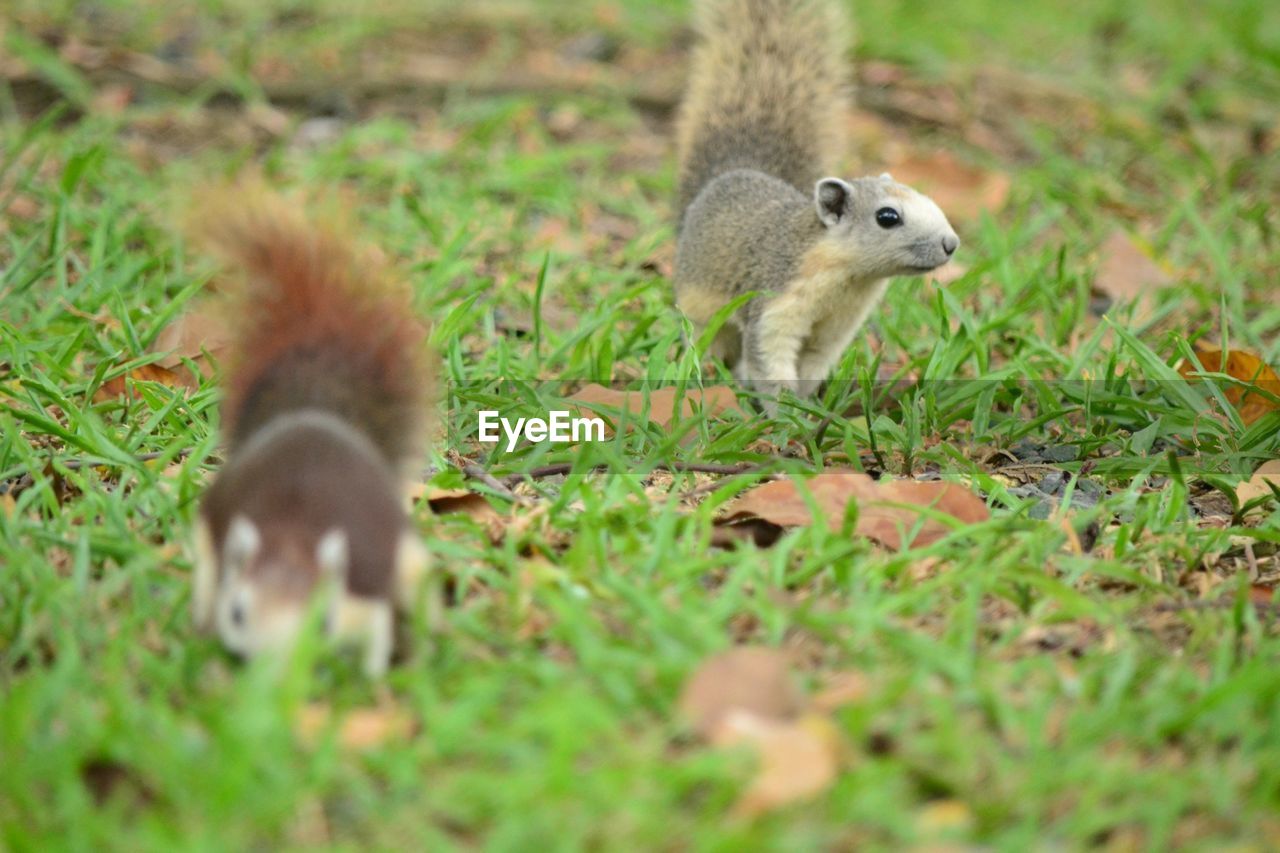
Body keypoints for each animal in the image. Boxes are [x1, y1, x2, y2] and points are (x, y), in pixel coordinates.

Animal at [670, 0, 962, 409]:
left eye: (931, 199)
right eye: (887, 217)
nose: (951, 244)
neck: (847, 280)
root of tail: (727, 175)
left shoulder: (838, 326)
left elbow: (813, 361)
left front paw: (807, 405)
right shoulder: (774, 303)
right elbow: (768, 360)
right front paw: (783, 413)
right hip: (699, 305)